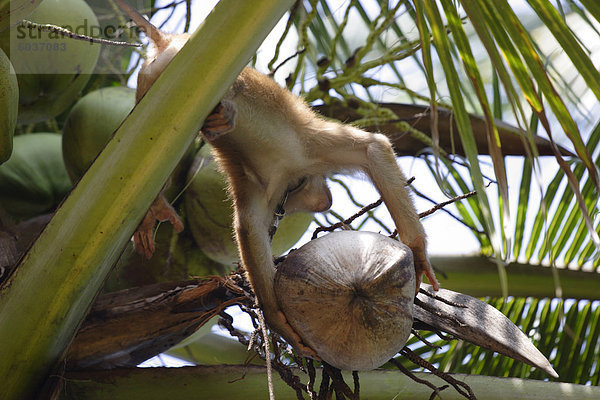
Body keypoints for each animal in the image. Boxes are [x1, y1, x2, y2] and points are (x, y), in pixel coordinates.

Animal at [111, 0, 436, 356]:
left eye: (303, 200)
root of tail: (171, 41)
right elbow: (250, 228)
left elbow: (371, 150)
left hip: (152, 80)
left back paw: (155, 202)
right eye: (313, 197)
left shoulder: (290, 167)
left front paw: (416, 253)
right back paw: (225, 111)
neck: (287, 176)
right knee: (227, 83)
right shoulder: (300, 157)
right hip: (189, 70)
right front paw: (277, 318)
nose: (326, 201)